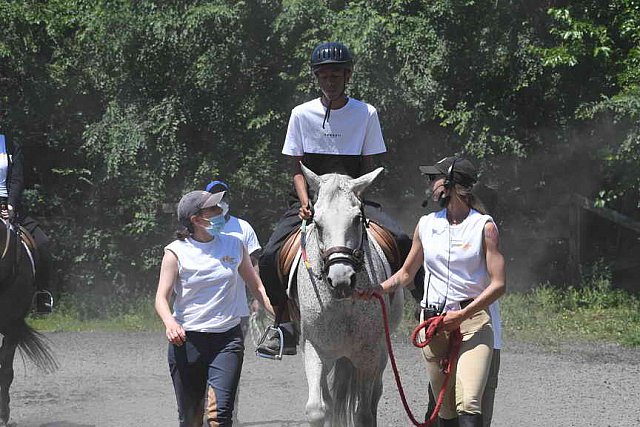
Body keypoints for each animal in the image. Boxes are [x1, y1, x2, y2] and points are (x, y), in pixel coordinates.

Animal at [294, 166, 402, 427]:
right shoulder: (314, 348)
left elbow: (363, 413)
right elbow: (317, 409)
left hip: (380, 353)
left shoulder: (369, 354)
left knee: (374, 395)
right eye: (317, 224)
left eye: (356, 220)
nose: (341, 279)